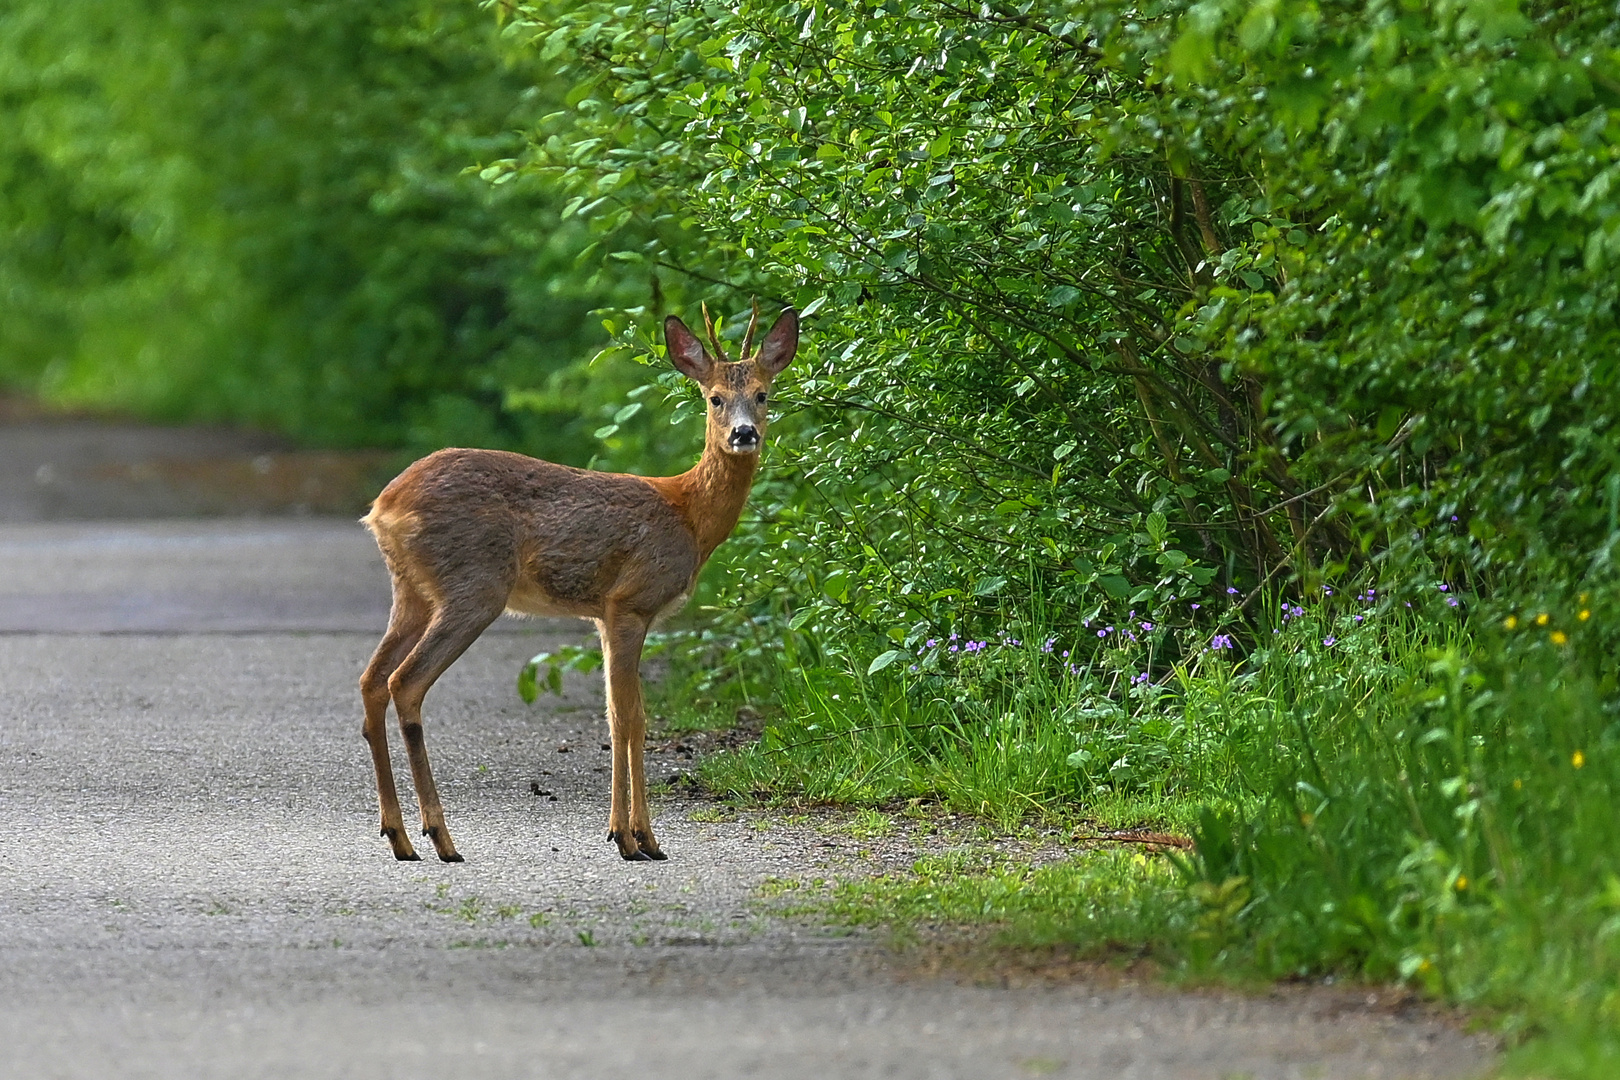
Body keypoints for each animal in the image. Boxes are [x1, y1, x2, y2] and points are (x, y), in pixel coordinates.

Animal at [356, 302, 797, 861]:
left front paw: (621, 832)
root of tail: (383, 507)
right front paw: (639, 838)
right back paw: (441, 838)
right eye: (715, 398)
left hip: (412, 590)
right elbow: (633, 718)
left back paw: (399, 837)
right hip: (474, 585)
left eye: (763, 394)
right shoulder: (632, 601)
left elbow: (614, 714)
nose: (744, 434)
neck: (690, 515)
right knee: (405, 682)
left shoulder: (603, 614)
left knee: (372, 680)